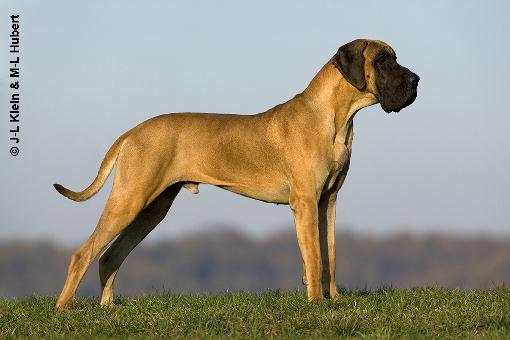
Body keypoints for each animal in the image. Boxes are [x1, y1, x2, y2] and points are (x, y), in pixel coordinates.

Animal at [53, 39, 418, 308]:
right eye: (383, 60)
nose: (417, 80)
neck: (335, 118)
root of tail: (131, 132)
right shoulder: (305, 202)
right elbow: (314, 257)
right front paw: (316, 303)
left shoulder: (328, 201)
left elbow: (330, 254)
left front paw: (335, 301)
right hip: (130, 200)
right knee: (83, 254)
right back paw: (64, 307)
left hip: (151, 209)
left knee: (110, 256)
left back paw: (107, 308)